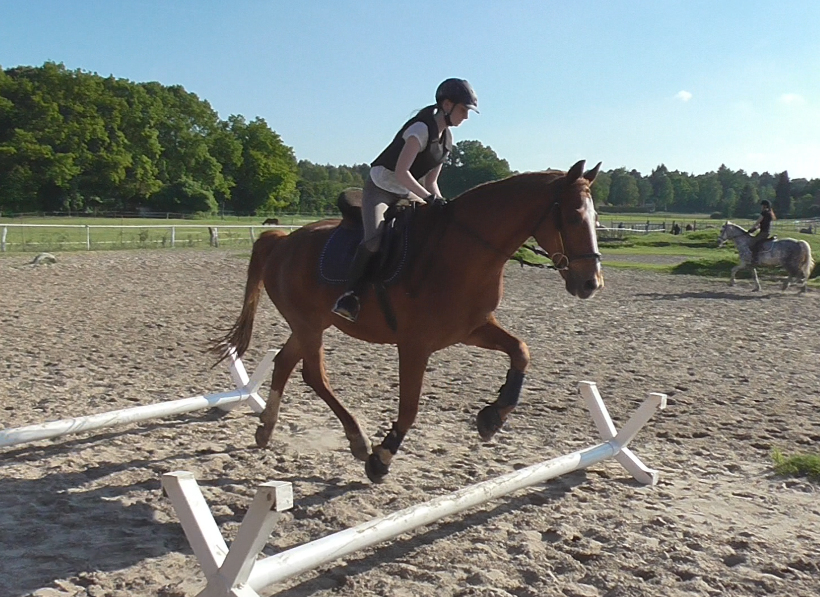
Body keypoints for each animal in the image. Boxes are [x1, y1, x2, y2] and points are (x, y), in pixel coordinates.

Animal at [213, 160, 604, 483]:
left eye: (596, 219)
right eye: (572, 217)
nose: (591, 283)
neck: (465, 253)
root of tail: (282, 241)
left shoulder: (472, 329)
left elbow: (521, 351)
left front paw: (493, 417)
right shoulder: (415, 345)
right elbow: (410, 407)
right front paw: (381, 458)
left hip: (311, 323)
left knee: (284, 363)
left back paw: (266, 430)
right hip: (308, 324)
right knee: (313, 374)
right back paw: (357, 440)